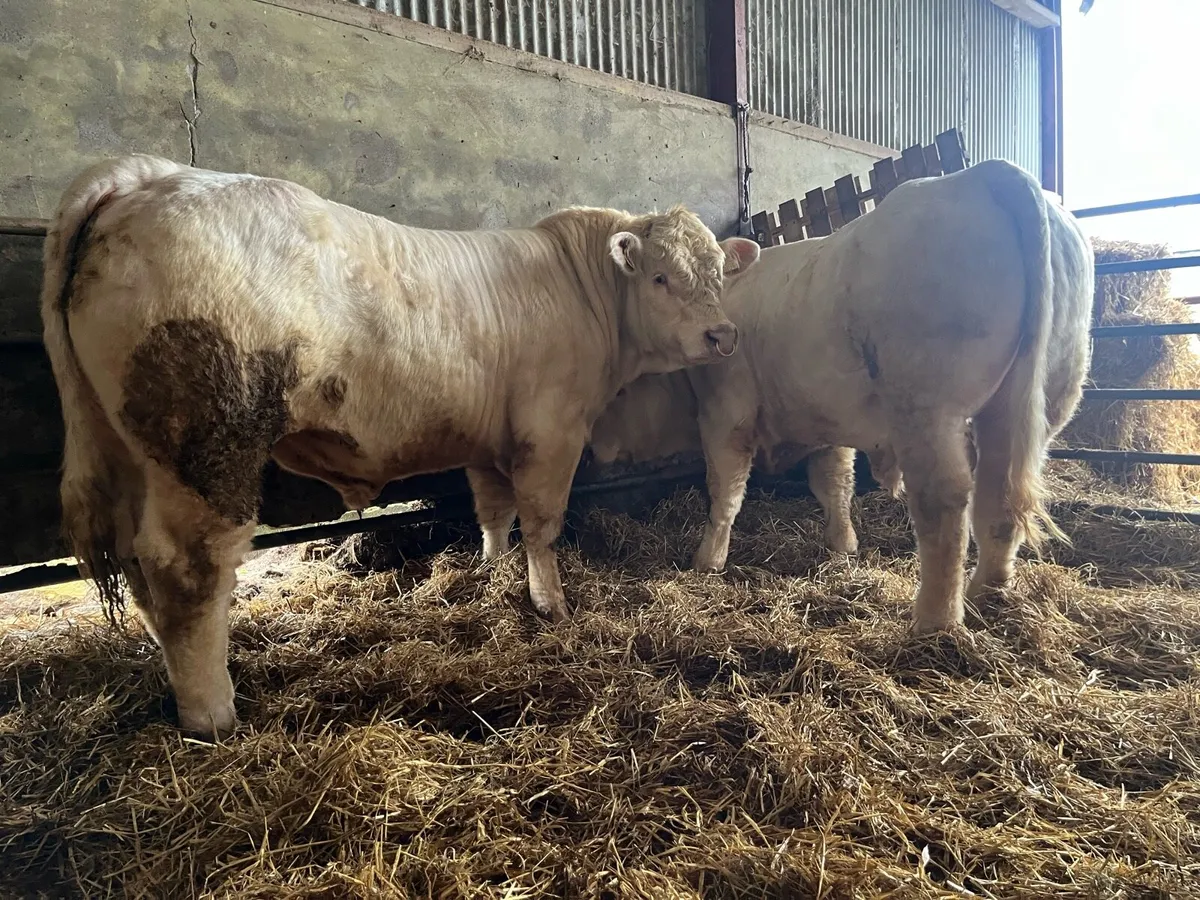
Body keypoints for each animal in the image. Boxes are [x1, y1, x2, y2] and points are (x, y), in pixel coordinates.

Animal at [41, 154, 761, 737]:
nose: (724, 335)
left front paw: (489, 573)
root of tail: (151, 175)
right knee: (186, 567)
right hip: (205, 448)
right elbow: (542, 521)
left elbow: (493, 510)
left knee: (136, 563)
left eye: (719, 273)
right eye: (662, 278)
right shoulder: (551, 430)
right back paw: (212, 712)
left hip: (129, 448)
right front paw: (550, 605)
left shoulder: (490, 438)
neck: (581, 291)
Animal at [589, 371, 862, 555]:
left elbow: (726, 497)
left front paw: (708, 562)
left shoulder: (726, 427)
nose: (590, 447)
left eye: (620, 393)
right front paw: (844, 545)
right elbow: (836, 488)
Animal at [676, 160, 1094, 634]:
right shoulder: (826, 415)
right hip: (1038, 401)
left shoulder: (724, 409)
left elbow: (725, 488)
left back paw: (935, 620)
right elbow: (834, 483)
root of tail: (984, 174)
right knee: (998, 494)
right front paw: (842, 546)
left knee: (944, 499)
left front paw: (708, 560)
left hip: (926, 405)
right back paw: (986, 594)